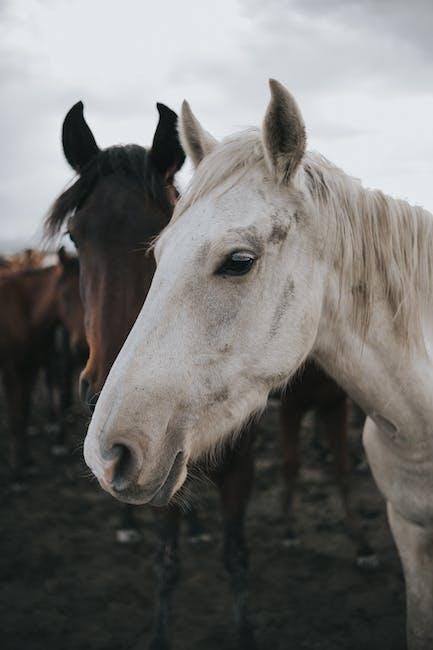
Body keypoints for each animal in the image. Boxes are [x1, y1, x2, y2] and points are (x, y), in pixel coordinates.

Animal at [0, 248, 85, 476]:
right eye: (64, 296)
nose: (83, 347)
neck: (25, 310)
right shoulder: (12, 370)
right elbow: (16, 415)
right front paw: (17, 468)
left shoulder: (32, 366)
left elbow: (25, 409)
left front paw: (27, 459)